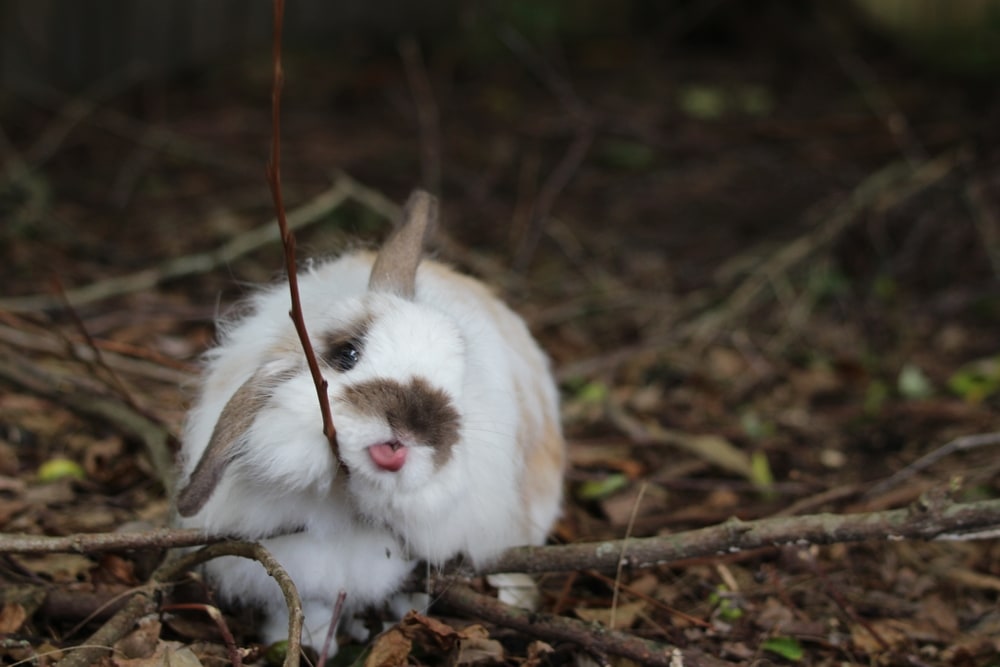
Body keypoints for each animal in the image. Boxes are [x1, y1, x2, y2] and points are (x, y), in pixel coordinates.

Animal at [173, 191, 566, 649]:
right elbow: (306, 609)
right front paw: (303, 645)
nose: (415, 424)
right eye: (347, 354)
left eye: (459, 373)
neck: (342, 500)